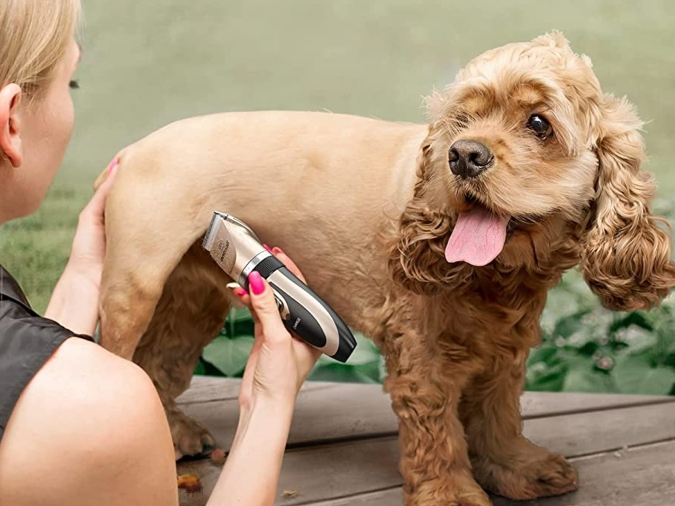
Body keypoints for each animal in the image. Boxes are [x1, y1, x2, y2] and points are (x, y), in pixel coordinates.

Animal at [95, 33, 675, 504]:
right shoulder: (420, 348)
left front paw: (516, 468)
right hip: (135, 288)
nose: (463, 155)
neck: (497, 276)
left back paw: (174, 433)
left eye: (539, 124)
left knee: (159, 361)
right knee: (121, 360)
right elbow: (438, 429)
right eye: (461, 121)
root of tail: (132, 149)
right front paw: (450, 494)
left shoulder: (503, 345)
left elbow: (499, 411)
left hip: (194, 299)